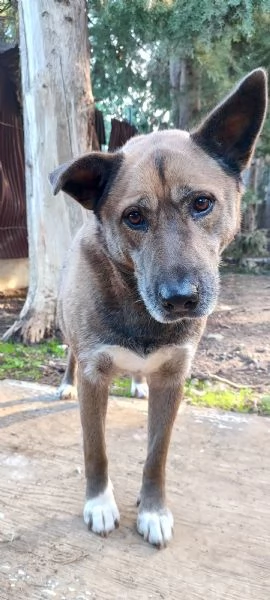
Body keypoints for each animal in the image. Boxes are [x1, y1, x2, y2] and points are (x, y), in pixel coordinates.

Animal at [50, 68, 268, 548]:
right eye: (134, 217)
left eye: (202, 203)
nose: (181, 299)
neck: (136, 304)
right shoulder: (95, 376)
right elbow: (96, 451)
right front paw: (99, 504)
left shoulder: (173, 378)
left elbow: (156, 455)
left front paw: (153, 511)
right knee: (71, 354)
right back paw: (65, 385)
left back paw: (136, 385)